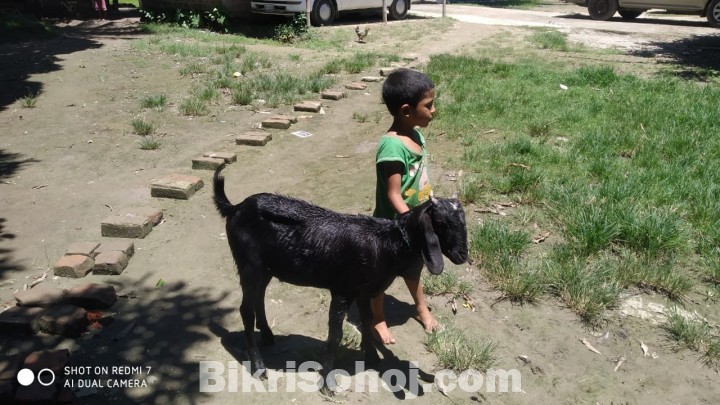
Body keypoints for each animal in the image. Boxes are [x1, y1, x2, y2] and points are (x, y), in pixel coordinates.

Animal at [212, 166, 472, 386]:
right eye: (440, 222)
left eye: (463, 221)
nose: (463, 255)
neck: (385, 243)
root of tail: (235, 208)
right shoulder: (342, 290)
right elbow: (335, 334)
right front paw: (328, 381)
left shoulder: (364, 290)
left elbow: (367, 321)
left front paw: (372, 356)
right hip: (249, 265)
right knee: (246, 309)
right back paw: (259, 366)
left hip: (266, 267)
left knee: (259, 298)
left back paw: (267, 335)